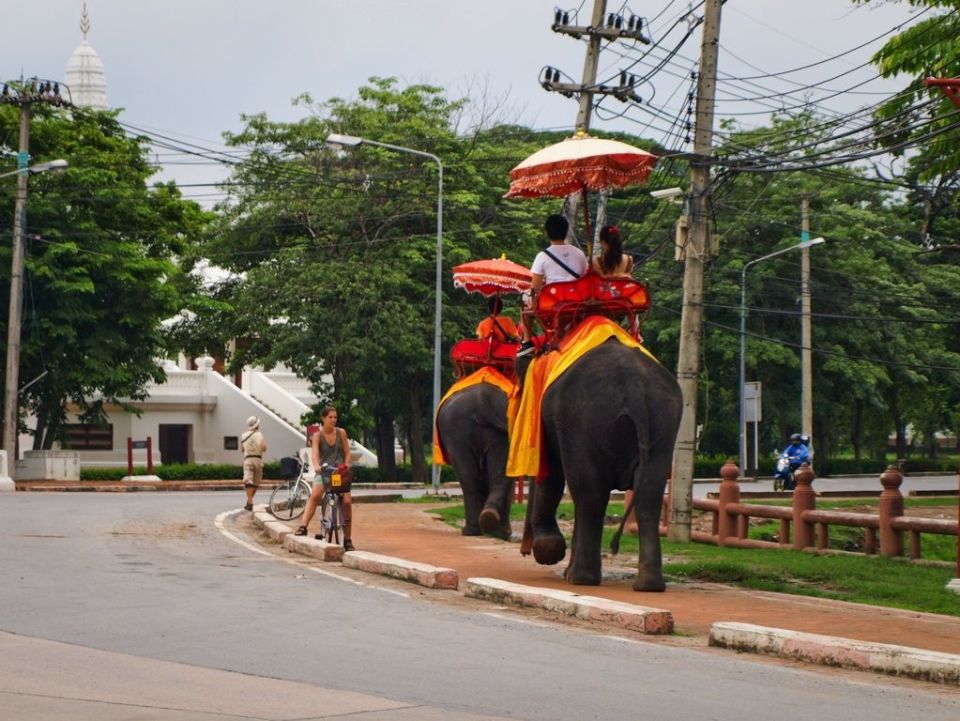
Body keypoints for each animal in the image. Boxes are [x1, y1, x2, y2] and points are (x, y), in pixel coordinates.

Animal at [516, 338, 684, 592]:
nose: (525, 551)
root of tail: (634, 384)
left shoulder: (553, 420)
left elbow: (551, 473)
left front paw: (549, 550)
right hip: (664, 421)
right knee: (649, 494)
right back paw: (648, 585)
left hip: (583, 421)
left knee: (589, 492)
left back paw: (580, 579)